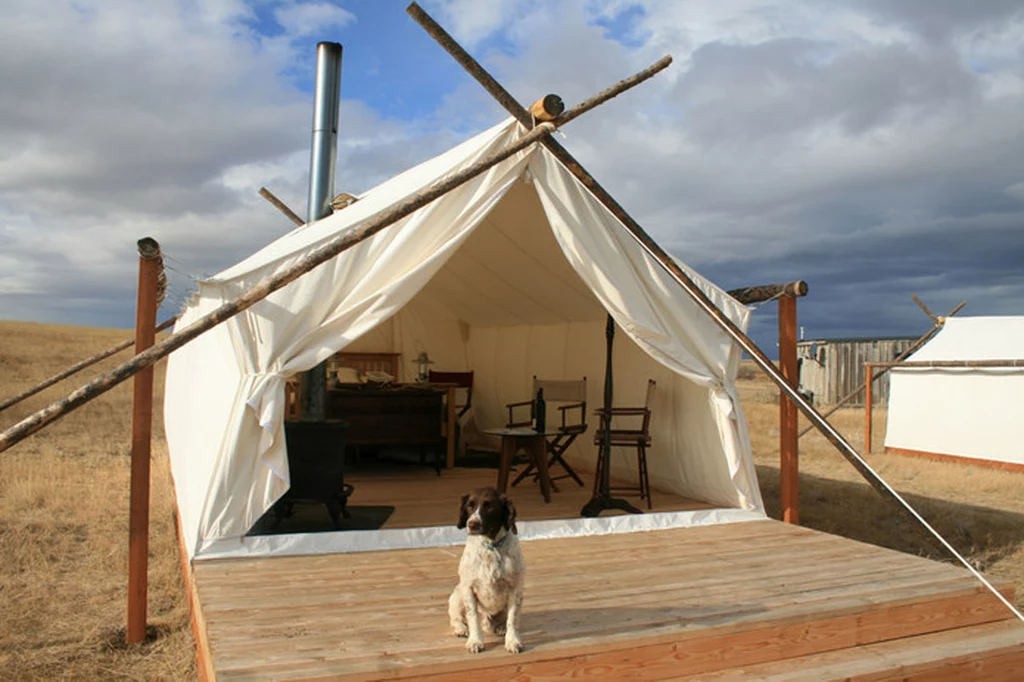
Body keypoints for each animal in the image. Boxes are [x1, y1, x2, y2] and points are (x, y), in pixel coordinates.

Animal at [450, 485, 528, 651]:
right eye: (470, 505)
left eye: (489, 506)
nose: (472, 524)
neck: (491, 547)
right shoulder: (468, 588)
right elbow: (472, 617)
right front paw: (475, 641)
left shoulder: (515, 589)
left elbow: (513, 619)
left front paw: (512, 641)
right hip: (458, 593)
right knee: (456, 617)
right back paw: (461, 628)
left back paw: (500, 627)